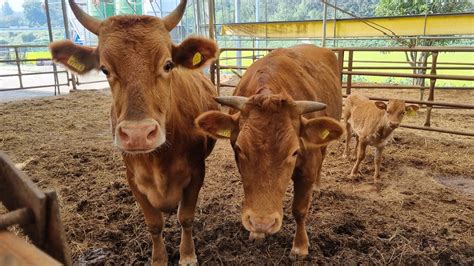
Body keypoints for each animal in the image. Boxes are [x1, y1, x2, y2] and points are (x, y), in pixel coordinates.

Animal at [48, 1, 218, 264]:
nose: (138, 133)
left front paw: (188, 254)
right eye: (105, 69)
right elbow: (154, 224)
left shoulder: (197, 172)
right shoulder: (133, 179)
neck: (159, 160)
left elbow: (186, 217)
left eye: (168, 64)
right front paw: (158, 258)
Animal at [194, 44, 342, 258]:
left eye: (294, 152)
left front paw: (300, 246)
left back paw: (318, 185)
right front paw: (257, 234)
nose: (262, 223)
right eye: (239, 148)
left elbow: (299, 209)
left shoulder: (307, 167)